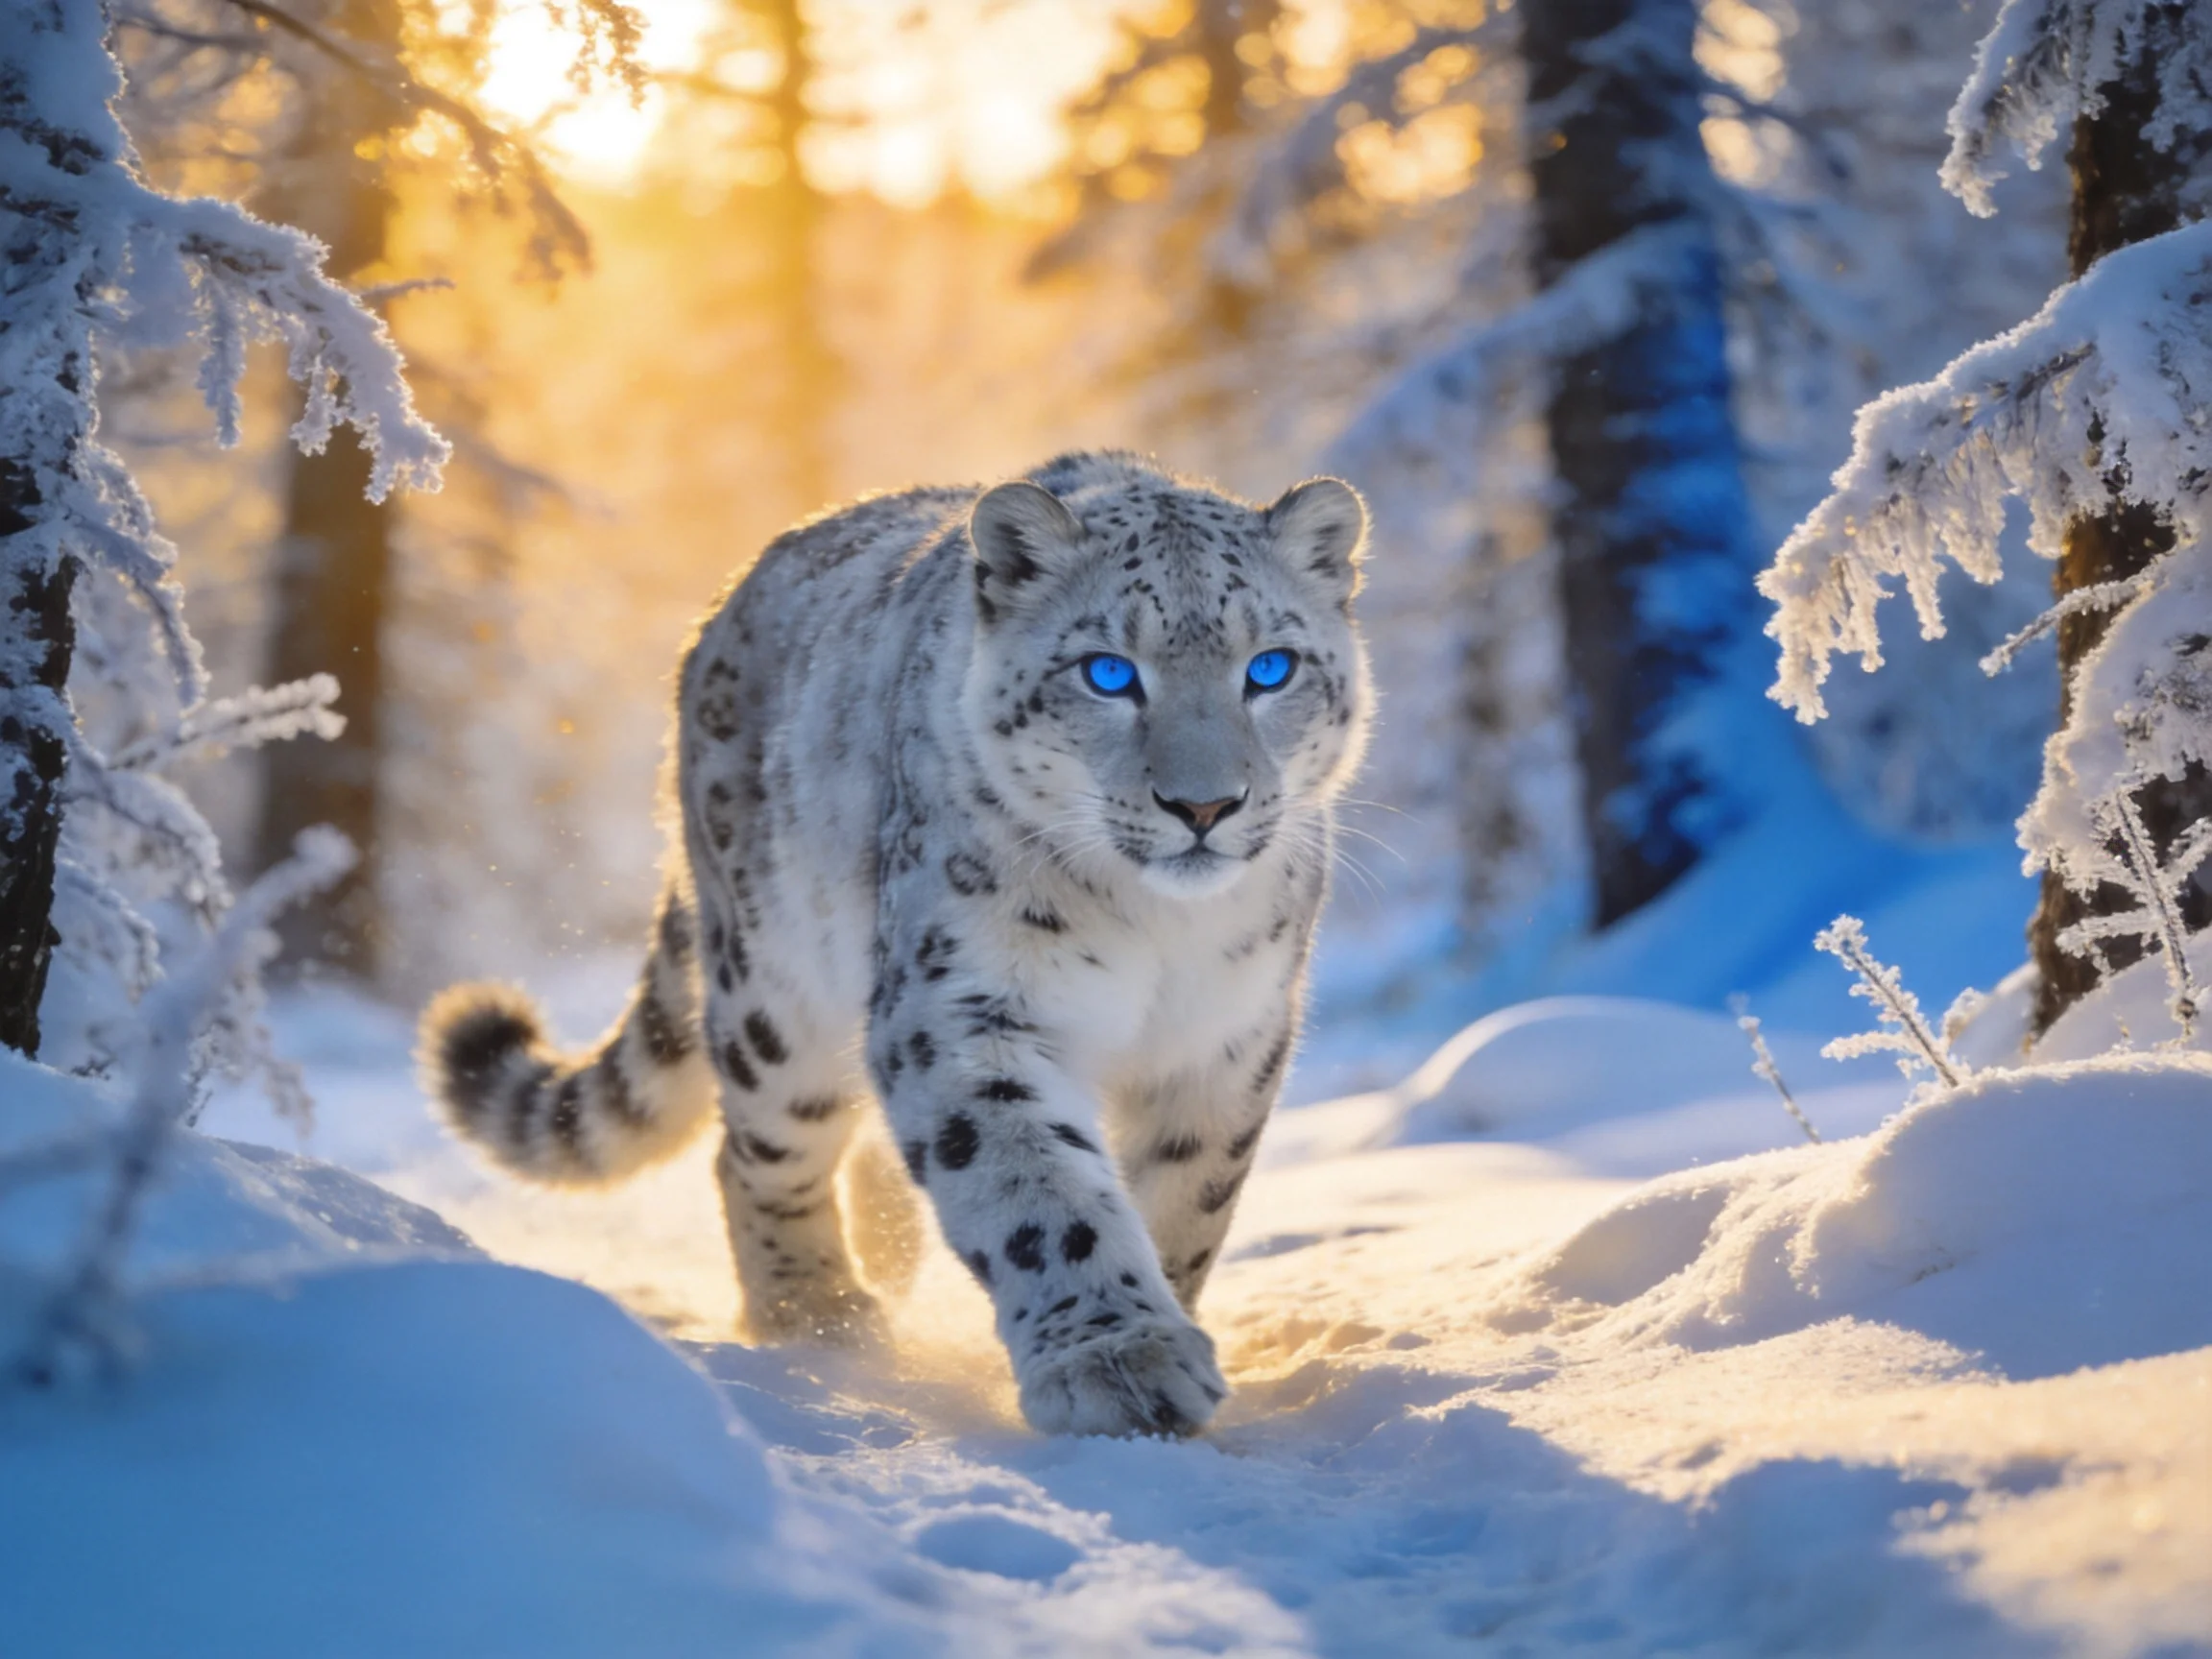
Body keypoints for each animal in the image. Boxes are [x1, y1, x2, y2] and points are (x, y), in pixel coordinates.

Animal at [419, 449, 1373, 1438]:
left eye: (1270, 668)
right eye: (1108, 673)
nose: (1204, 805)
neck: (1159, 932)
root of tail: (720, 611)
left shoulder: (1229, 1035)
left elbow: (1191, 1194)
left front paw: (1163, 1327)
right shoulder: (966, 1005)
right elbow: (1037, 1186)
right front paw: (1115, 1359)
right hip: (773, 994)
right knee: (756, 1148)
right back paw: (816, 1312)